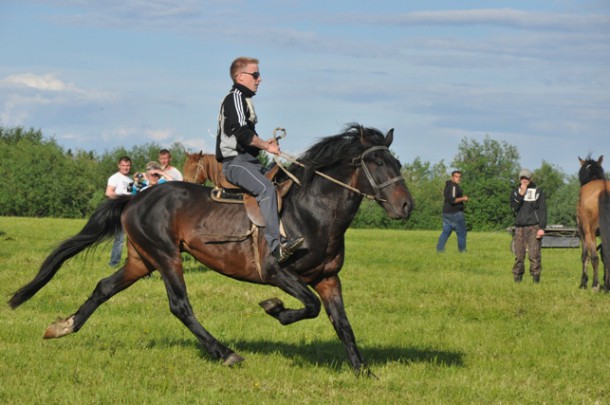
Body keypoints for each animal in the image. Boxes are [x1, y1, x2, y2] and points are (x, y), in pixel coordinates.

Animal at [8, 124, 414, 376]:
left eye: (397, 162)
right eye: (376, 162)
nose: (406, 206)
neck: (312, 212)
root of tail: (135, 198)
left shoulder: (329, 278)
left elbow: (342, 324)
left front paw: (362, 370)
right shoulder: (279, 273)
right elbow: (309, 308)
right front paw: (275, 309)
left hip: (142, 260)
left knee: (104, 287)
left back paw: (63, 327)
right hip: (166, 256)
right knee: (180, 306)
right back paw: (225, 353)